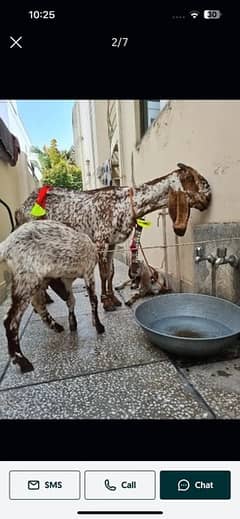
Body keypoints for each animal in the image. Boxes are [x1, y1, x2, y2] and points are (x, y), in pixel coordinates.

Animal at [15, 164, 210, 308]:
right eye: (203, 182)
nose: (208, 200)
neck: (128, 203)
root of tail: (20, 209)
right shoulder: (101, 241)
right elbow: (102, 273)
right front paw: (106, 301)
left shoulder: (112, 243)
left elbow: (110, 272)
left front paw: (113, 299)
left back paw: (46, 298)